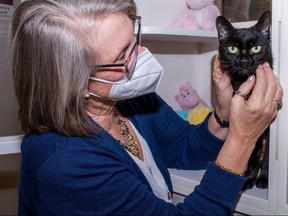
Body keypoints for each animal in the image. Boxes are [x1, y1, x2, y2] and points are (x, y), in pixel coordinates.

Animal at [216, 10, 272, 189]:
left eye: (256, 48)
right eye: (232, 48)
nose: (245, 62)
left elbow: (267, 156)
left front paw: (264, 179)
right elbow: (249, 155)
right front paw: (247, 177)